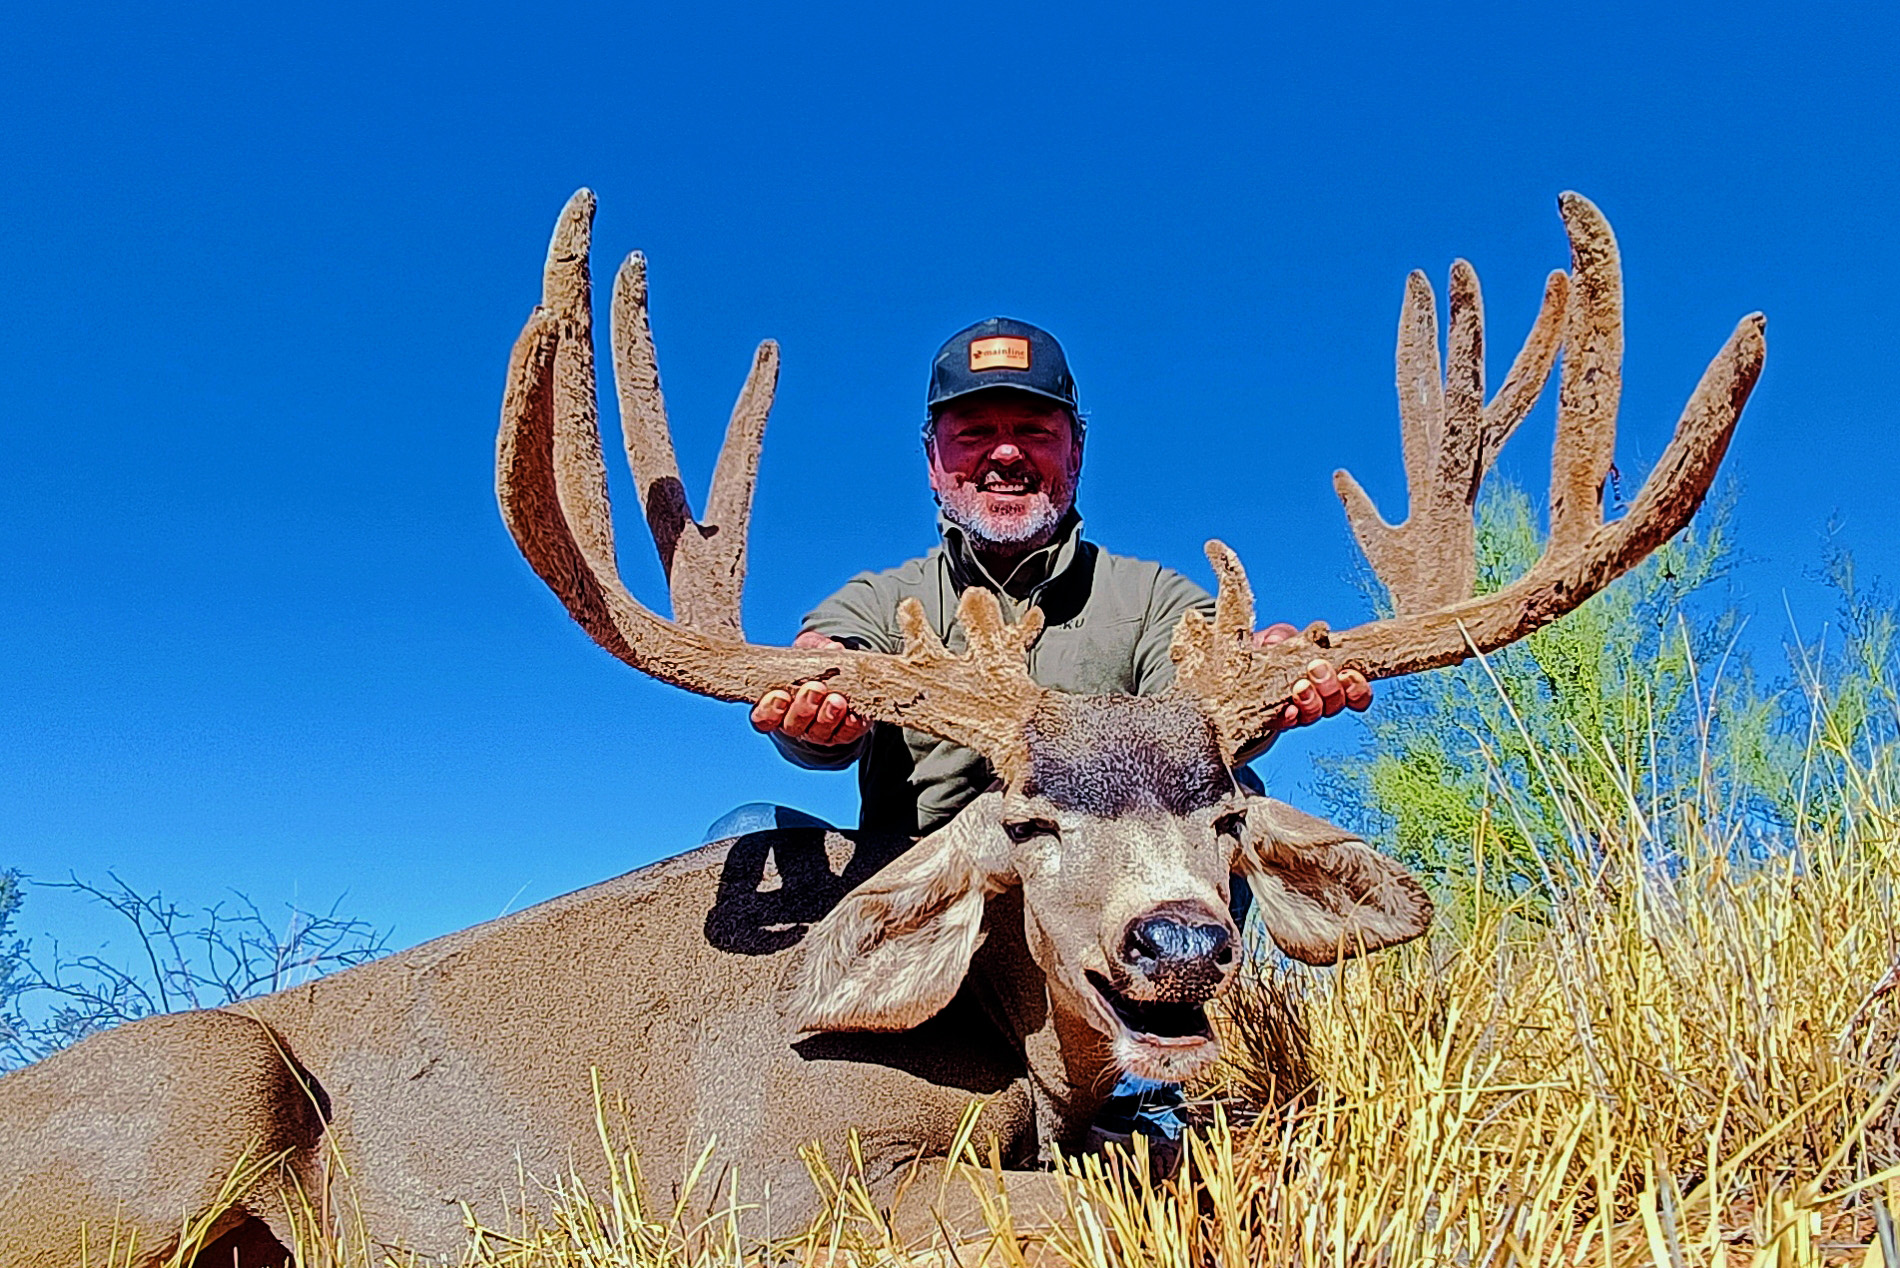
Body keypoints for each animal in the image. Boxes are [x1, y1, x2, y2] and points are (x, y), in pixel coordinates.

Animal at [0, 190, 1764, 1268]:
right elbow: (1116, 1208)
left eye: (1229, 810)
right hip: (198, 1085)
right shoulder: (766, 1190)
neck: (999, 1043)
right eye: (1027, 821)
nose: (1179, 945)